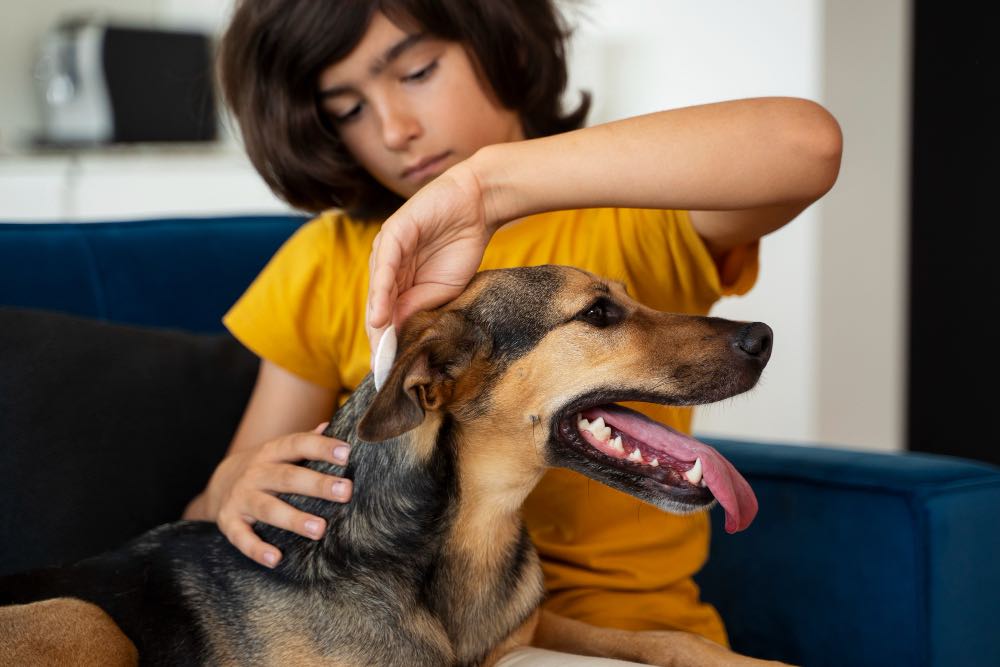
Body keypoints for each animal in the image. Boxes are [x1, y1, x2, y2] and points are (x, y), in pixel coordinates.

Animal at [0, 268, 780, 667]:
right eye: (597, 314)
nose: (763, 336)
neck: (469, 534)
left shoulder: (529, 632)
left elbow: (657, 636)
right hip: (83, 616)